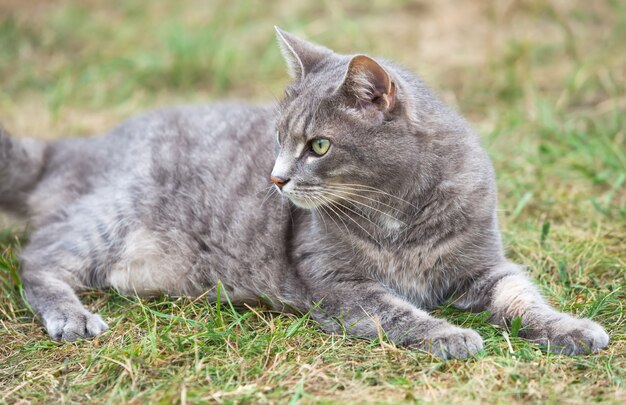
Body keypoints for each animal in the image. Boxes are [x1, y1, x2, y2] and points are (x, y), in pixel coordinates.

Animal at [0, 28, 604, 356]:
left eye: (318, 145)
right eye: (278, 138)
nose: (275, 178)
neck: (399, 212)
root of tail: (77, 146)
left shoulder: (485, 264)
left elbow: (522, 297)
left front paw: (573, 329)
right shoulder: (337, 284)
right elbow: (398, 311)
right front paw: (449, 334)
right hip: (111, 215)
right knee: (38, 261)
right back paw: (72, 316)